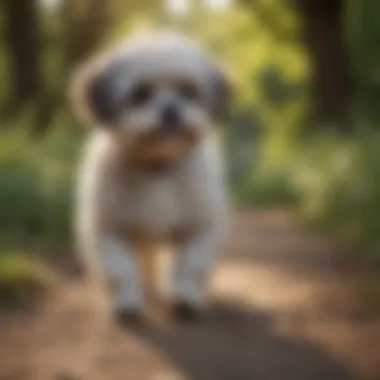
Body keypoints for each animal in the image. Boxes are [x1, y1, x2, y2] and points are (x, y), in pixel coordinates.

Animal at [70, 30, 232, 324]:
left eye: (189, 91)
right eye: (140, 94)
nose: (171, 109)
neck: (158, 168)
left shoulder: (201, 225)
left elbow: (190, 264)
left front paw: (184, 298)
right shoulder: (110, 229)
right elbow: (120, 270)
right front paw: (127, 303)